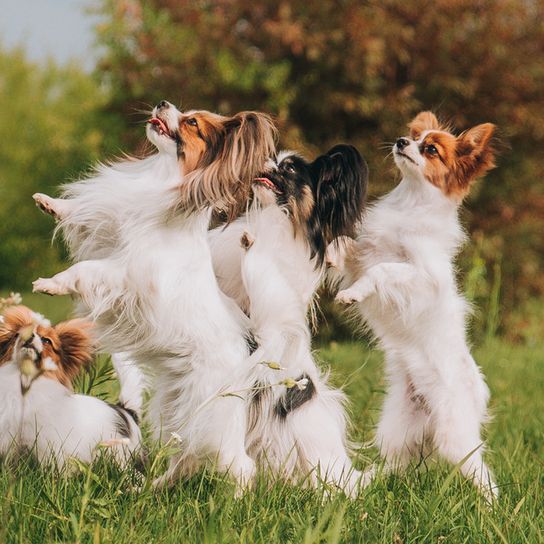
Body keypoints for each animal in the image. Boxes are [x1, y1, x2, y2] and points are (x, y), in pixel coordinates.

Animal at [0, 306, 142, 468]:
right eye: (16, 335)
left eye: (46, 340)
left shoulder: (47, 444)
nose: (28, 336)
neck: (25, 381)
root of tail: (125, 410)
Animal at [31, 100, 276, 490]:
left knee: (239, 464)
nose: (163, 104)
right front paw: (51, 203)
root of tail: (249, 360)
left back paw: (237, 498)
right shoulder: (113, 234)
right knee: (183, 457)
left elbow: (83, 271)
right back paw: (152, 487)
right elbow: (87, 218)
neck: (164, 179)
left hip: (210, 420)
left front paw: (51, 283)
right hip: (176, 411)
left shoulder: (125, 272)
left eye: (191, 123)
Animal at [330, 112, 500, 500]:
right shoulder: (365, 254)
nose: (400, 142)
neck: (410, 202)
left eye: (431, 149)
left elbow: (382, 271)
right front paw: (330, 251)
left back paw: (494, 508)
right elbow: (349, 248)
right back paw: (375, 483)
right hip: (396, 430)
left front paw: (352, 295)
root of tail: (477, 391)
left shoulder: (420, 278)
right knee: (396, 464)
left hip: (455, 440)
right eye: (414, 136)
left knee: (484, 475)